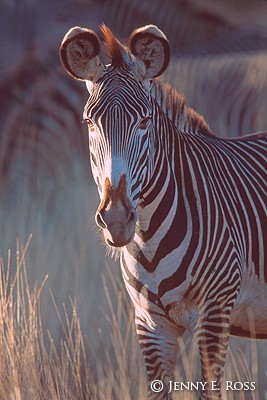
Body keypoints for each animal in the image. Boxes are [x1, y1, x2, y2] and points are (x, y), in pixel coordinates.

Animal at [60, 23, 267, 398]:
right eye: (89, 123)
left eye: (144, 122)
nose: (116, 219)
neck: (149, 240)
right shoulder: (150, 324)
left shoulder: (214, 315)